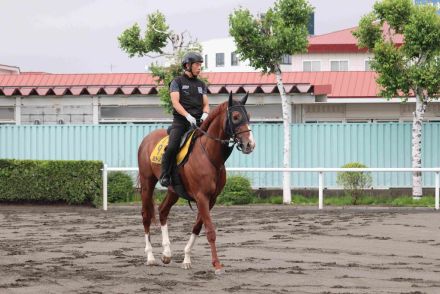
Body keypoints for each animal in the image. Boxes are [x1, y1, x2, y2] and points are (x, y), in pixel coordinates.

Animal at [137, 91, 254, 274]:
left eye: (248, 116)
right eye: (235, 117)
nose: (250, 144)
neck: (210, 156)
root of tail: (147, 139)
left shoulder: (210, 199)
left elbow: (198, 227)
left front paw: (186, 259)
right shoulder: (201, 197)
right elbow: (210, 230)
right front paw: (217, 265)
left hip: (173, 191)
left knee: (162, 211)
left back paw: (167, 253)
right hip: (147, 184)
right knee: (146, 216)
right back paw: (150, 257)